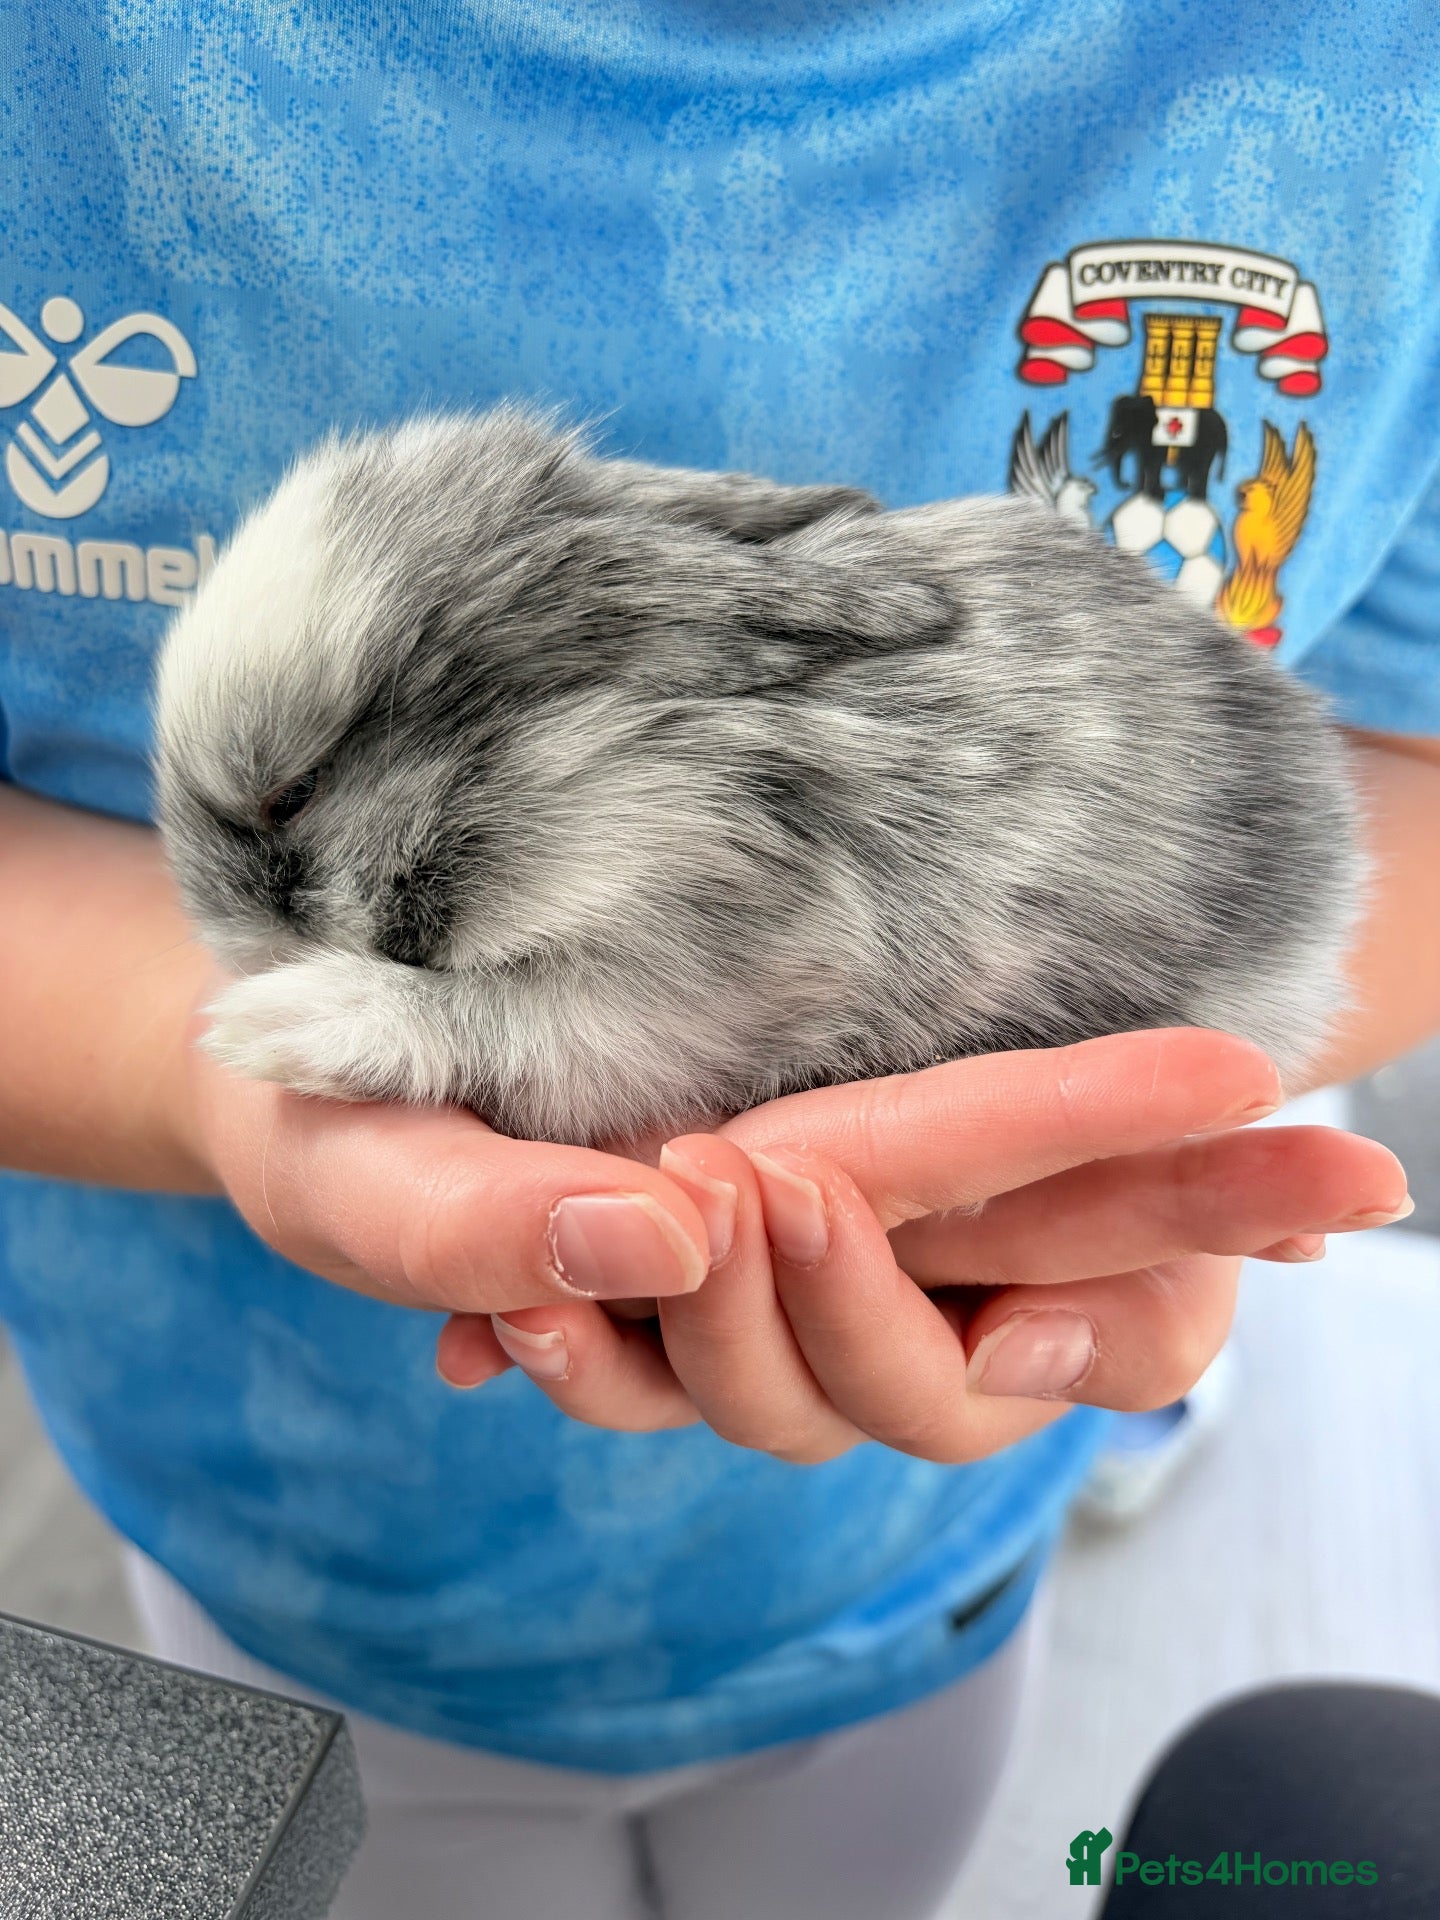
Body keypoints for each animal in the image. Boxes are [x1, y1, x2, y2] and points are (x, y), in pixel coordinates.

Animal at [153, 406, 1362, 1149]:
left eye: (292, 795)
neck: (564, 754)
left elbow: (491, 1021)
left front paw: (279, 1028)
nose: (227, 941)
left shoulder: (694, 982)